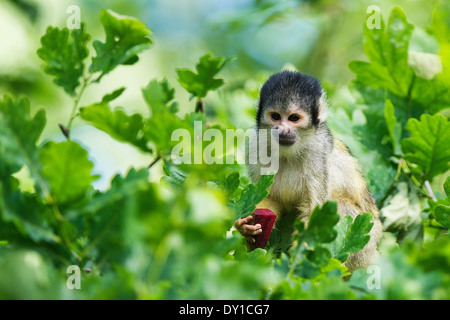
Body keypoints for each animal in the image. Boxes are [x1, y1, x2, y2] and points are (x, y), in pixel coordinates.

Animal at [236, 70, 384, 272]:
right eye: (275, 116)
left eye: (293, 118)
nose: (282, 130)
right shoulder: (255, 144)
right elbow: (268, 197)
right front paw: (246, 228)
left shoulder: (318, 150)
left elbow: (316, 209)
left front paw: (301, 254)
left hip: (367, 248)